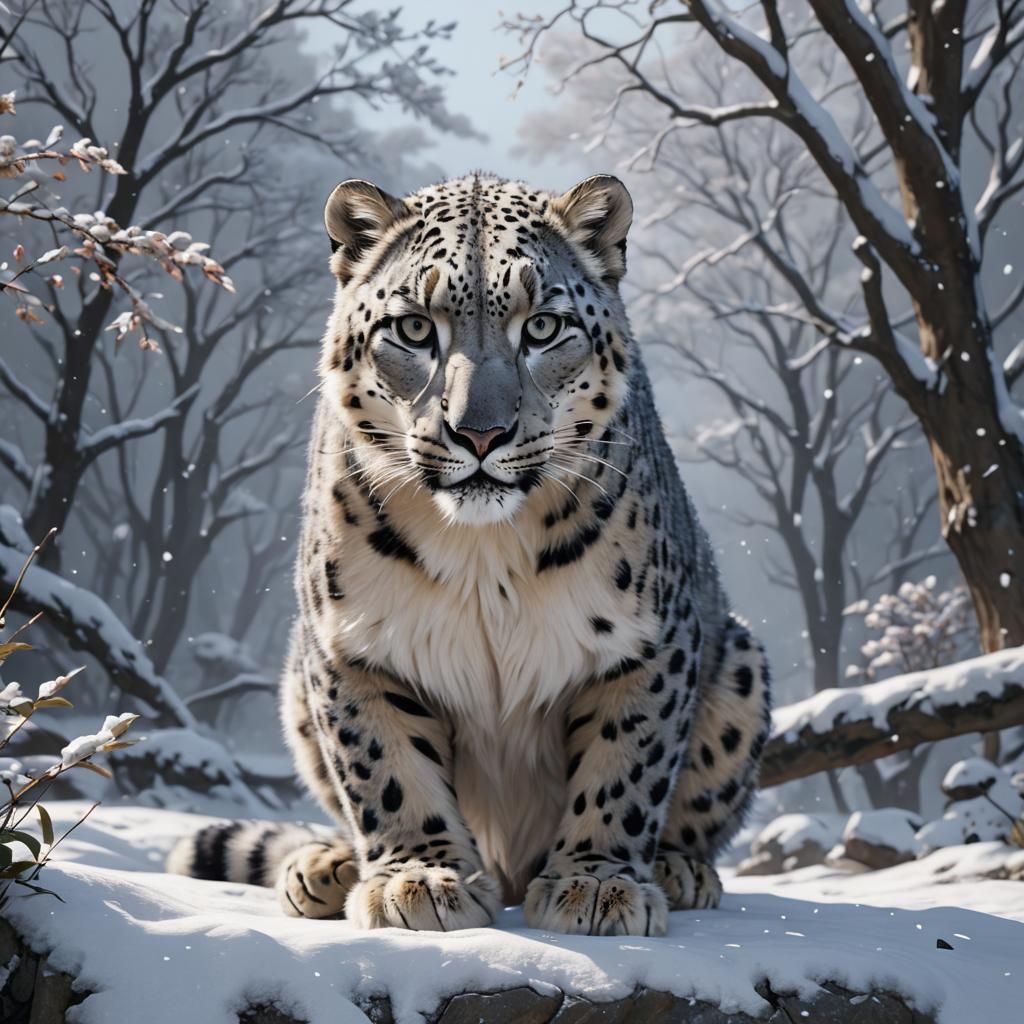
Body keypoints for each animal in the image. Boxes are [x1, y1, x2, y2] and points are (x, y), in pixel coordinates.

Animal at [167, 172, 771, 937]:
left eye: (542, 326)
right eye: (414, 328)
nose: (479, 433)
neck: (483, 550)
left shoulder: (644, 644)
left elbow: (626, 767)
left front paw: (596, 884)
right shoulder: (354, 646)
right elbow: (385, 768)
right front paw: (421, 879)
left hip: (740, 666)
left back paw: (677, 869)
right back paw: (324, 867)